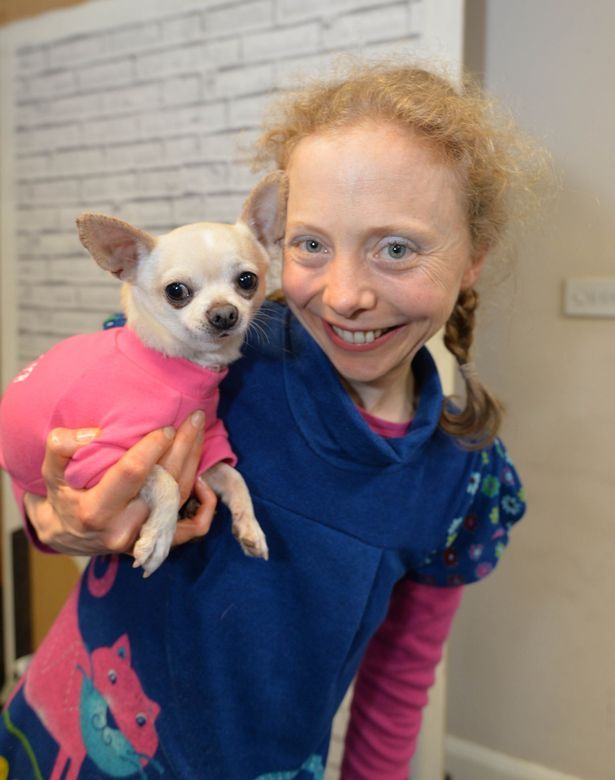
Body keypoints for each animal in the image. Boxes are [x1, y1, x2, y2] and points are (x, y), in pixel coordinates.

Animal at [0, 172, 288, 572]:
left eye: (247, 281)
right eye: (177, 291)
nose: (224, 314)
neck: (181, 365)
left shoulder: (208, 446)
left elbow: (235, 477)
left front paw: (250, 527)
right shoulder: (98, 457)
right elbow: (165, 478)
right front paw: (158, 538)